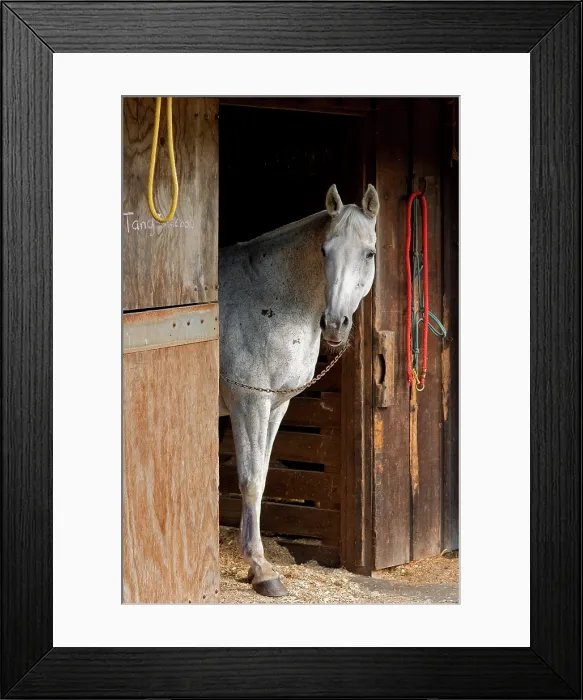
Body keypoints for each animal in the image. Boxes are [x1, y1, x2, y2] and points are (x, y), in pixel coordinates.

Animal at [218, 183, 379, 596]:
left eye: (369, 253)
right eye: (324, 250)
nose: (335, 324)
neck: (268, 297)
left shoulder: (276, 407)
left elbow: (261, 476)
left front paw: (256, 566)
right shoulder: (250, 403)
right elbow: (251, 480)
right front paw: (262, 570)